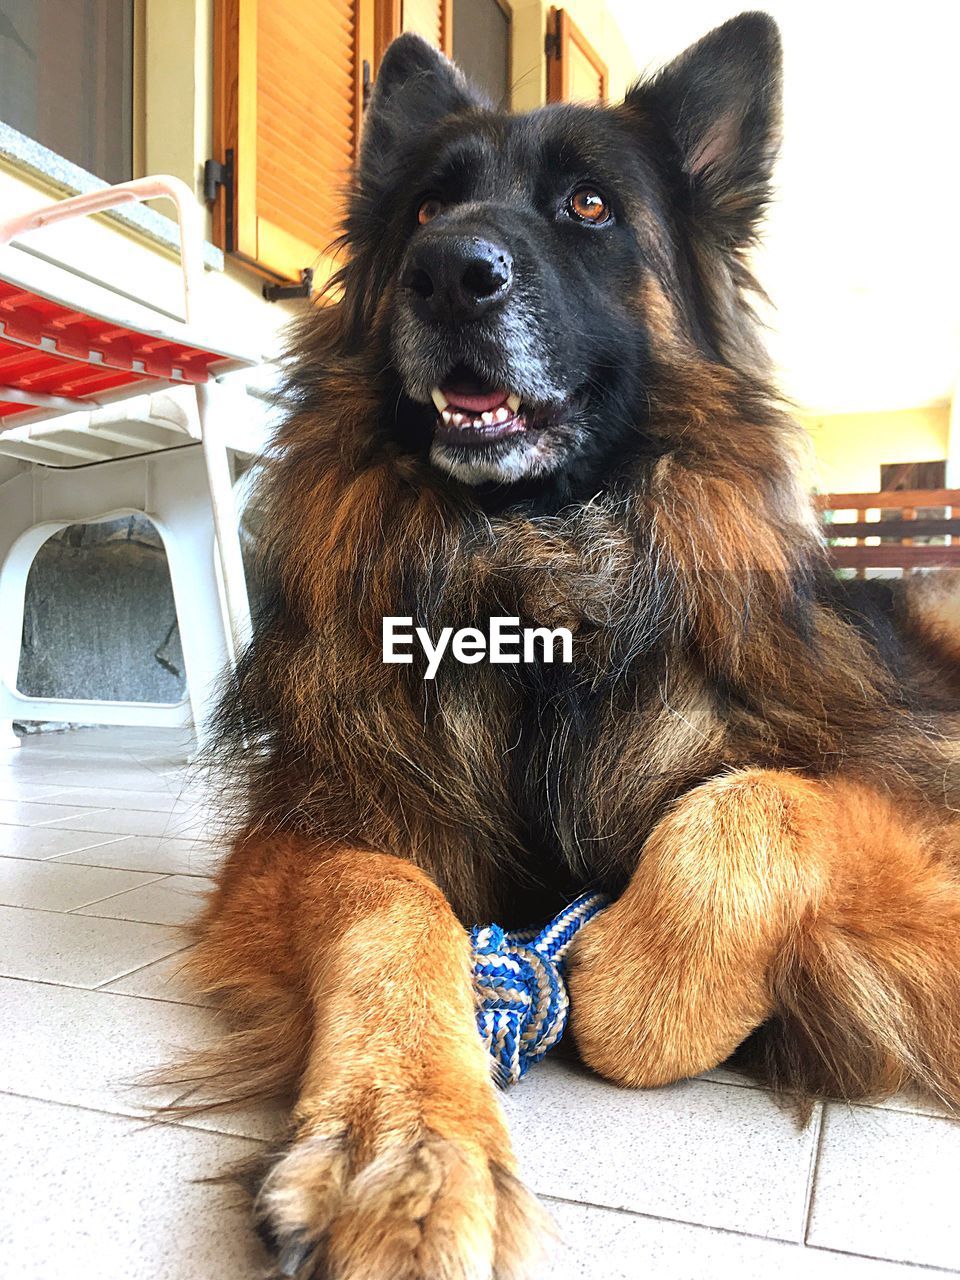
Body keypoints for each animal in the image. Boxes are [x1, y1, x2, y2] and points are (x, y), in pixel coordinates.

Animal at [180, 12, 960, 1280]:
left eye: (589, 207)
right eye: (422, 211)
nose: (449, 269)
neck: (533, 572)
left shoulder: (911, 799)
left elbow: (755, 806)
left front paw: (633, 977)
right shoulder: (313, 824)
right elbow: (388, 903)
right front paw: (405, 1150)